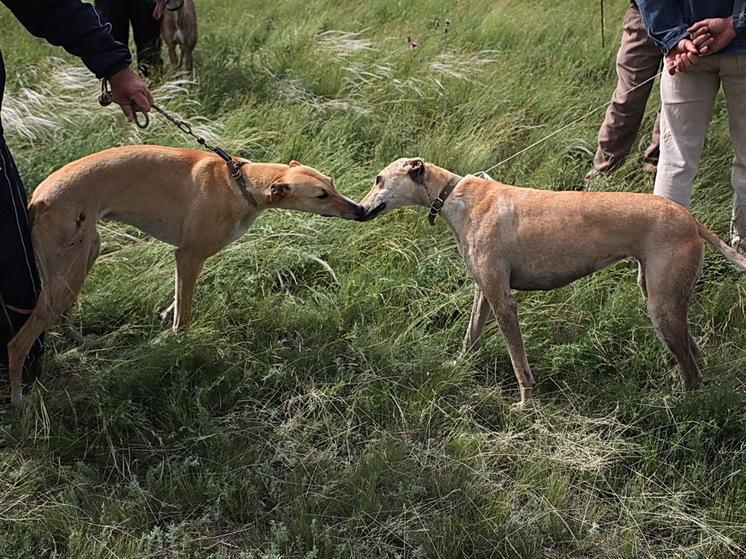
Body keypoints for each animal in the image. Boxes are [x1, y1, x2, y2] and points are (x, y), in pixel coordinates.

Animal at [6, 145, 364, 402]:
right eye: (321, 195)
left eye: (331, 184)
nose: (360, 210)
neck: (239, 183)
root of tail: (38, 197)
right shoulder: (189, 255)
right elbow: (185, 315)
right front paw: (179, 347)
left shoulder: (188, 259)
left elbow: (178, 301)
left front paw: (167, 315)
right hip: (68, 271)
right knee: (18, 342)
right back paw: (19, 399)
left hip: (83, 256)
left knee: (62, 315)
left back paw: (80, 340)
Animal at [358, 160, 744, 410]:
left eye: (378, 179)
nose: (359, 210)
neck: (455, 195)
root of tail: (691, 220)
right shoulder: (484, 291)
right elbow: (470, 336)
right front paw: (458, 366)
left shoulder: (504, 301)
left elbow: (519, 364)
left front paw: (525, 404)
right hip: (662, 298)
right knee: (695, 354)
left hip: (661, 307)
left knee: (693, 374)